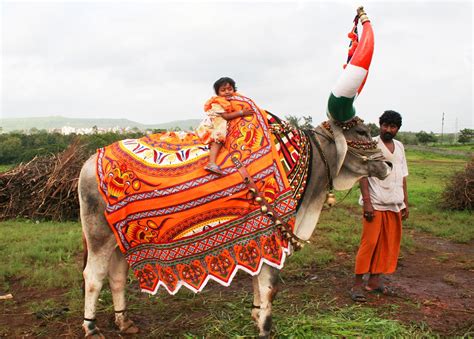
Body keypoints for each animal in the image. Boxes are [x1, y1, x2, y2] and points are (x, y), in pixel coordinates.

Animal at [78, 6, 388, 338]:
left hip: (121, 239)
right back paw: (91, 327)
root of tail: (89, 161)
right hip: (98, 235)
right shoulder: (272, 234)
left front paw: (254, 314)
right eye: (361, 131)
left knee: (117, 274)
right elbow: (269, 286)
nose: (388, 165)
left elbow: (256, 280)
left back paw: (124, 321)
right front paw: (265, 326)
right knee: (93, 275)